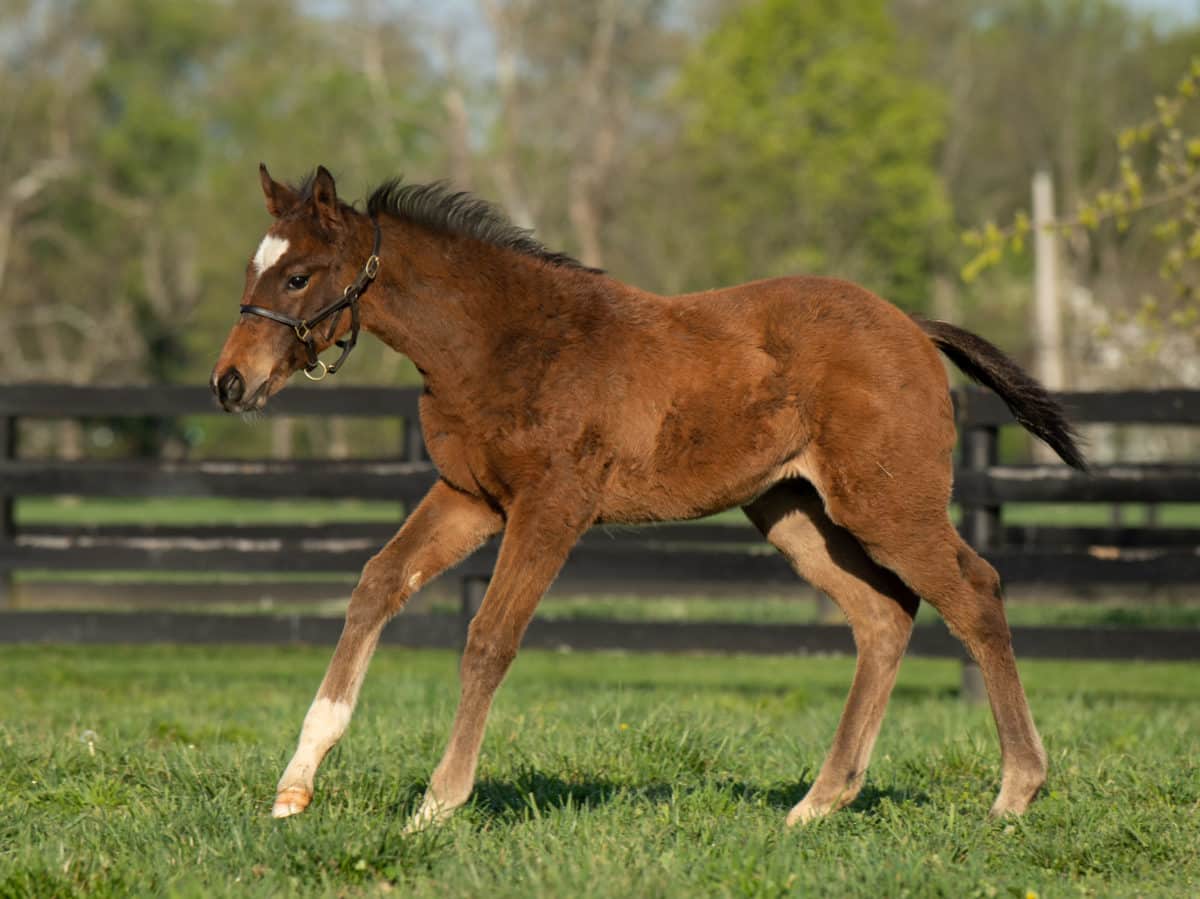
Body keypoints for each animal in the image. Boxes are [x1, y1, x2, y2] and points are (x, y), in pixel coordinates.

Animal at [211, 166, 1084, 825]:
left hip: (887, 503)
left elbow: (489, 638)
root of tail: (911, 324)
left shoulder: (551, 507)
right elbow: (376, 585)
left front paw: (438, 801)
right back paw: (818, 802)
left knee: (974, 590)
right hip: (794, 510)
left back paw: (1015, 790)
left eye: (297, 276)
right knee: (883, 615)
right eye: (250, 272)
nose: (230, 383)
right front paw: (296, 783)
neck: (500, 341)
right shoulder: (470, 495)